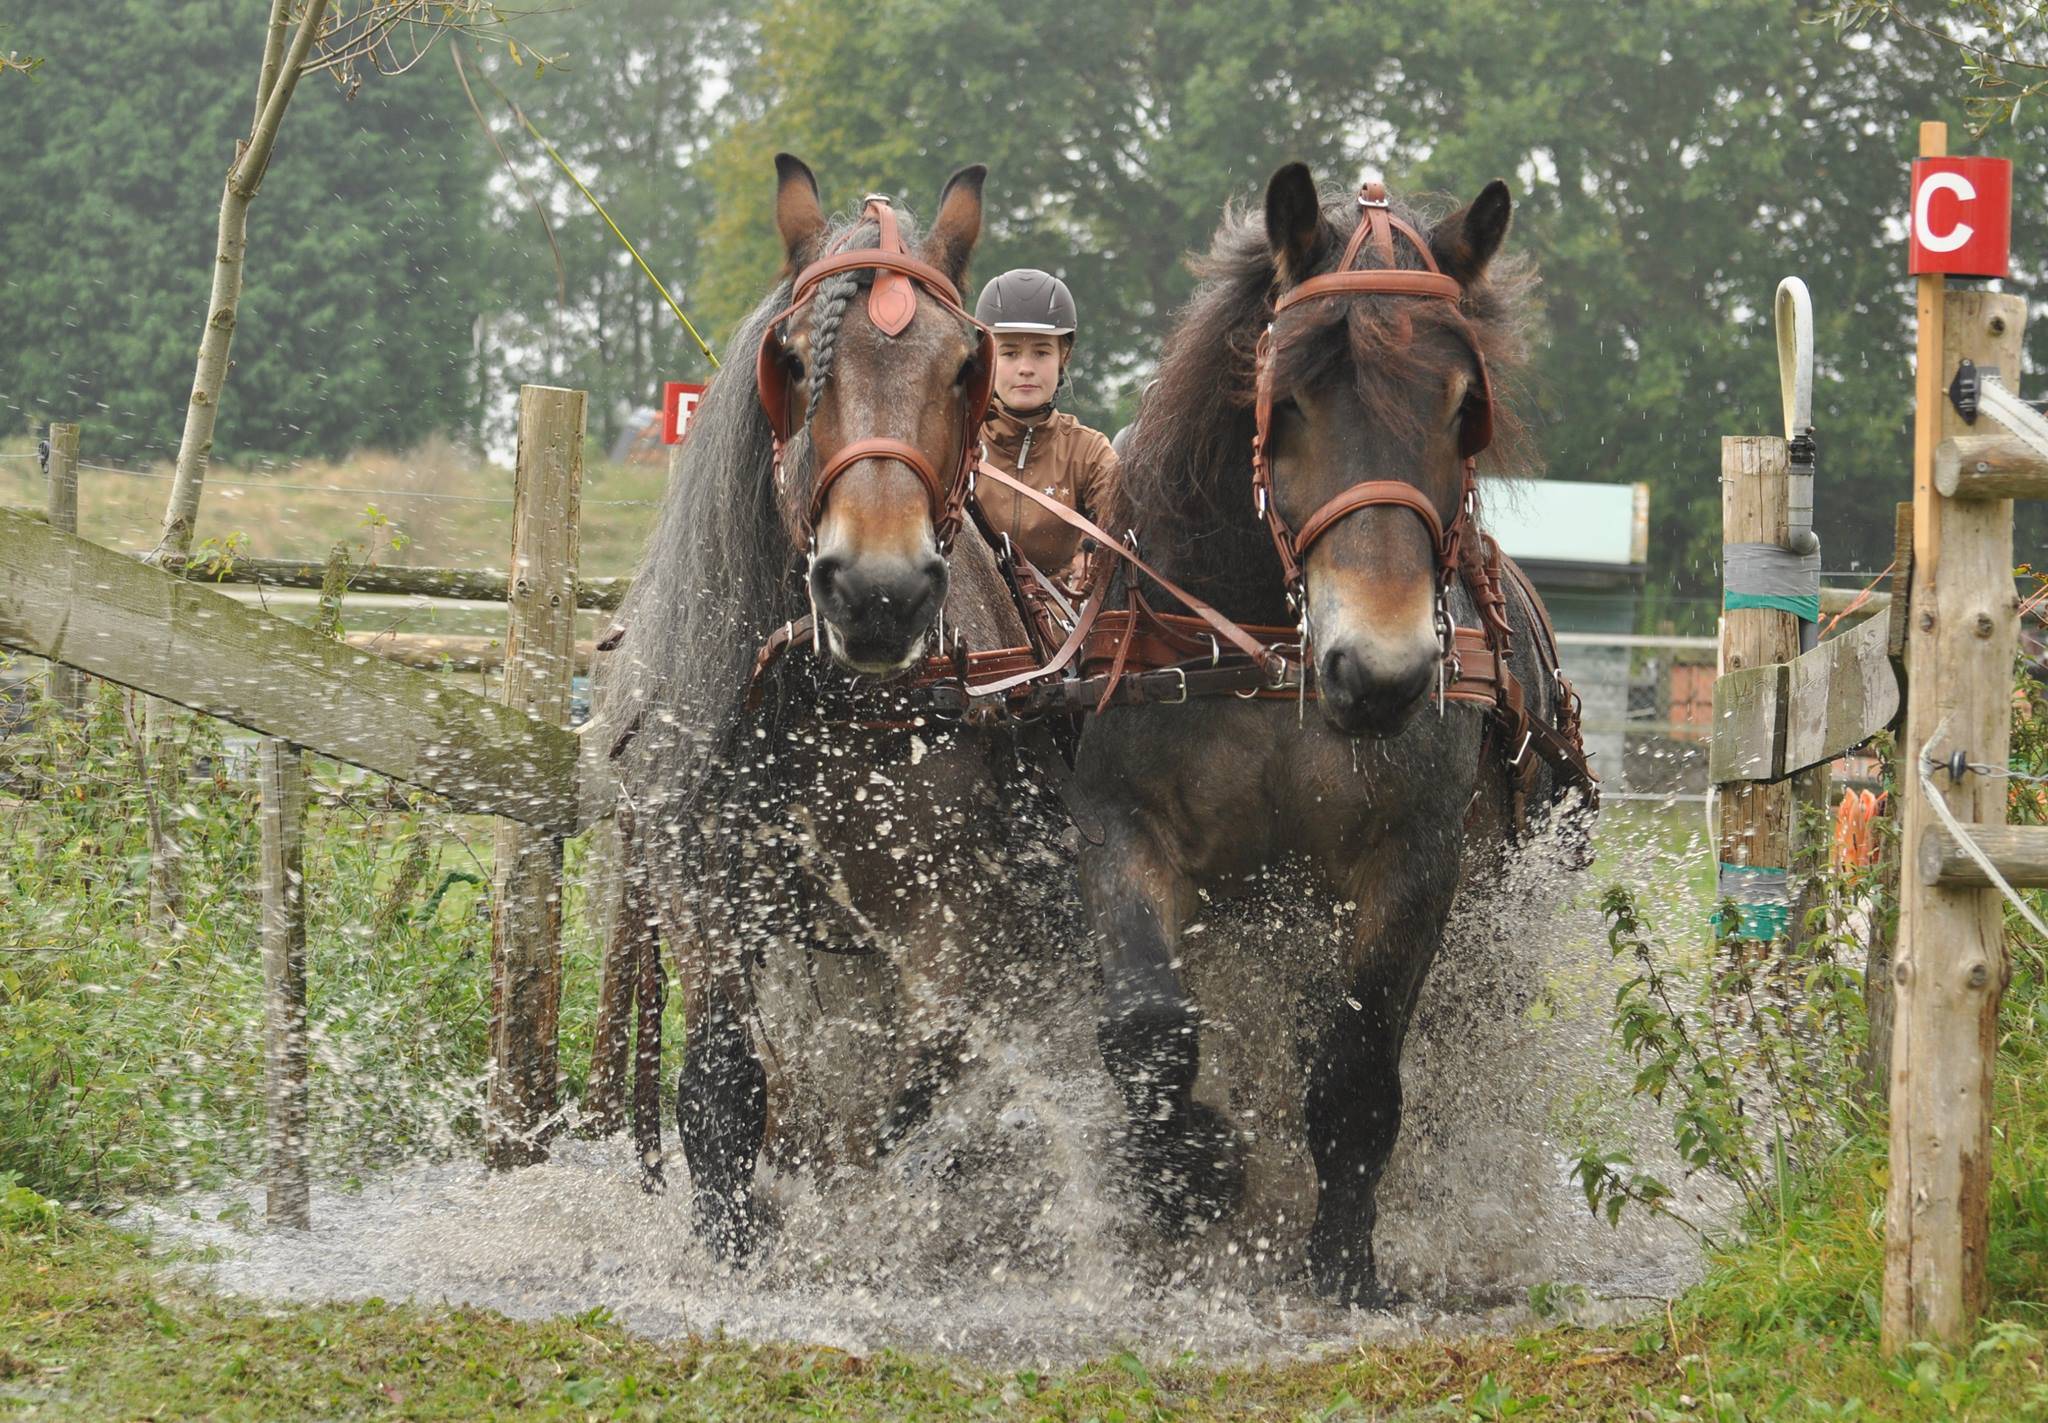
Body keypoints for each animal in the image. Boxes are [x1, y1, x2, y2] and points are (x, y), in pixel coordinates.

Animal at [592, 155, 1067, 1262]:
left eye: (964, 367)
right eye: (792, 361)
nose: (877, 593)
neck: (816, 694)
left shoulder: (949, 905)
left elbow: (923, 1074)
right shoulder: (700, 880)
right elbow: (722, 1083)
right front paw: (734, 1236)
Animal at [1066, 163, 1593, 1305]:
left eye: (1462, 408)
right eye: (1291, 398)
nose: (1380, 673)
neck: (1270, 657)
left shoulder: (1414, 859)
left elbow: (1356, 1069)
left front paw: (1343, 1256)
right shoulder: (1122, 824)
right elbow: (1147, 1026)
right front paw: (1192, 1175)